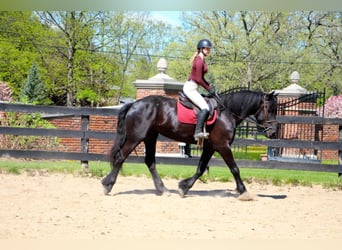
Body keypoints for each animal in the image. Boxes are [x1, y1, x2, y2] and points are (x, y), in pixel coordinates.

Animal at [101, 90, 278, 199]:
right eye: (270, 109)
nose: (274, 133)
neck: (226, 112)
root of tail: (134, 104)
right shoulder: (223, 146)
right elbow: (235, 169)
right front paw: (244, 192)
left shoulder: (210, 147)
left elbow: (200, 169)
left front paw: (184, 186)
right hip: (136, 137)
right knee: (120, 158)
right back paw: (108, 185)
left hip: (150, 137)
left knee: (149, 161)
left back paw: (163, 189)